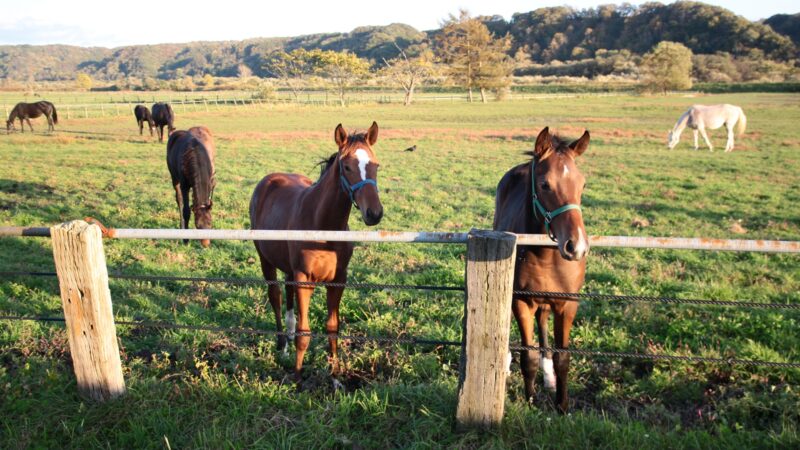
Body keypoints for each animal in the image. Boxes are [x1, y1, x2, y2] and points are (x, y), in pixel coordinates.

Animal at [249, 122, 383, 381]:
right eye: (347, 166)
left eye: (375, 165)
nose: (374, 213)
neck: (324, 228)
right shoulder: (305, 280)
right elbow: (305, 332)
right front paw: (298, 377)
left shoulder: (338, 280)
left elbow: (332, 327)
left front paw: (335, 374)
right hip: (266, 260)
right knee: (276, 297)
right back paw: (282, 345)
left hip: (288, 268)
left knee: (287, 294)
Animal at [493, 126, 590, 413]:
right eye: (545, 184)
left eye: (582, 184)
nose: (576, 246)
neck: (546, 257)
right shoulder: (522, 302)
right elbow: (529, 356)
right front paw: (530, 401)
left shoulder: (567, 304)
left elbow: (563, 357)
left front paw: (562, 405)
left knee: (544, 323)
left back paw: (549, 376)